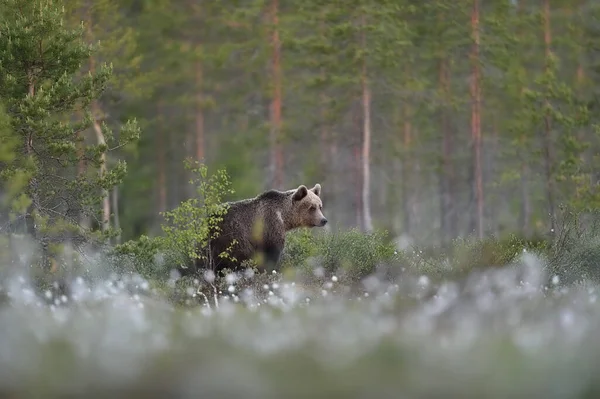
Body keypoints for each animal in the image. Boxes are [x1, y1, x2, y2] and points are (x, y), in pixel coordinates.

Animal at [188, 184, 328, 278]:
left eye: (320, 206)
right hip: (231, 239)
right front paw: (269, 272)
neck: (283, 217)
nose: (323, 220)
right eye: (312, 207)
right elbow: (271, 253)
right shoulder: (270, 226)